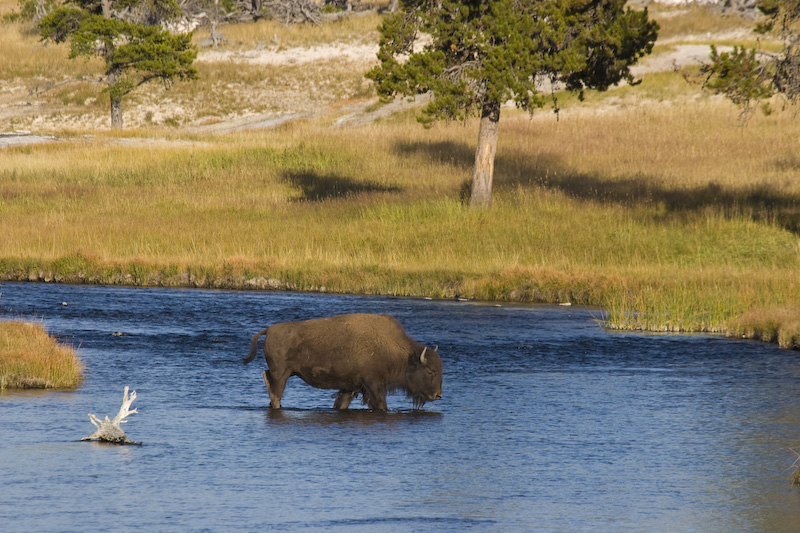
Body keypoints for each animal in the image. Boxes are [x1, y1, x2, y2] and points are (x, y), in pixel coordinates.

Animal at [244, 312, 444, 412]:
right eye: (429, 371)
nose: (438, 395)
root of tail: (269, 329)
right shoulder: (374, 384)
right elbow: (381, 404)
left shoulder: (350, 386)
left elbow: (342, 403)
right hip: (282, 374)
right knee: (275, 393)